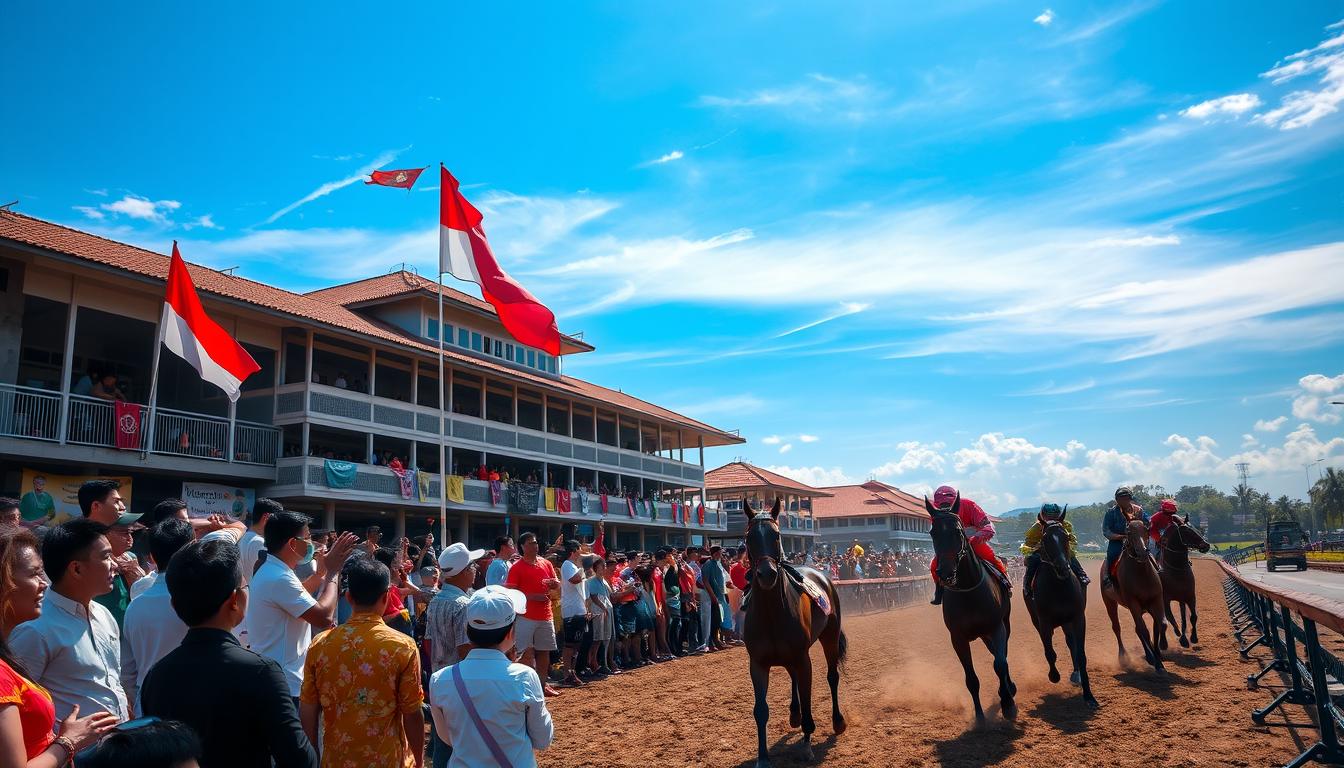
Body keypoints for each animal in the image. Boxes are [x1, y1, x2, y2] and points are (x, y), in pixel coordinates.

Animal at [741, 494, 844, 763]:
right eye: (749, 537)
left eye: (776, 535)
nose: (766, 574)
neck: (772, 614)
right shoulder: (757, 663)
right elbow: (760, 710)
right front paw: (763, 757)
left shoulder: (802, 658)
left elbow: (809, 699)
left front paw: (807, 744)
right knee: (794, 679)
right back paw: (794, 714)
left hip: (830, 636)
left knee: (832, 676)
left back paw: (838, 722)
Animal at [924, 494, 1016, 726]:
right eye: (933, 532)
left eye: (958, 531)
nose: (946, 572)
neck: (968, 590)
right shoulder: (957, 638)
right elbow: (971, 679)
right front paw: (980, 717)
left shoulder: (996, 627)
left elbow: (1000, 664)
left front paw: (1008, 705)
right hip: (982, 634)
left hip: (1004, 623)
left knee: (1002, 655)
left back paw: (1009, 688)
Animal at [1021, 513, 1096, 704]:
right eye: (1045, 538)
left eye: (1066, 537)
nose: (1063, 567)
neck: (1059, 587)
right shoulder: (1044, 623)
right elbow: (1050, 652)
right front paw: (1054, 676)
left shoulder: (1078, 618)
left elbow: (1080, 652)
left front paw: (1089, 695)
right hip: (1039, 621)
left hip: (1067, 622)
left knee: (1071, 642)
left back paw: (1076, 674)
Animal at [1102, 519, 1166, 675]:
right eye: (1129, 532)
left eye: (1146, 530)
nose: (1142, 552)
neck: (1142, 575)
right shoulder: (1133, 604)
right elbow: (1145, 631)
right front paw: (1155, 661)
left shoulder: (1156, 600)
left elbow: (1161, 624)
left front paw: (1159, 652)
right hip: (1110, 603)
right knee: (1117, 628)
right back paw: (1124, 658)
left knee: (1139, 628)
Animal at [1155, 513, 1209, 650]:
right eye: (1186, 531)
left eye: (1194, 527)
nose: (1206, 545)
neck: (1176, 569)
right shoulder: (1165, 599)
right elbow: (1169, 618)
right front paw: (1178, 636)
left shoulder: (1189, 596)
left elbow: (1192, 617)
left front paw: (1192, 638)